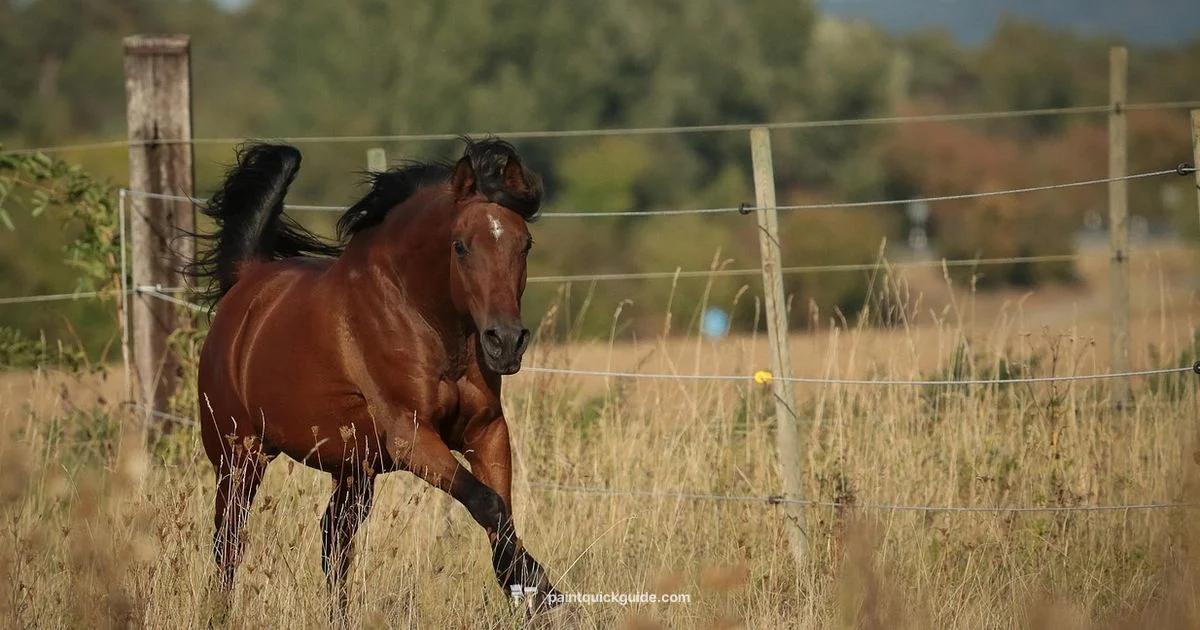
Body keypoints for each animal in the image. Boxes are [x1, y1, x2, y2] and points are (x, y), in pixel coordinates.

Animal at [191, 138, 560, 616]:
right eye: (460, 246)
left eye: (525, 244)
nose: (506, 341)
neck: (421, 318)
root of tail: (247, 281)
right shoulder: (412, 438)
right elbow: (488, 503)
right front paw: (539, 586)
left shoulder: (487, 430)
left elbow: (503, 515)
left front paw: (536, 589)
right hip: (239, 455)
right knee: (229, 539)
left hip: (353, 469)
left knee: (333, 540)